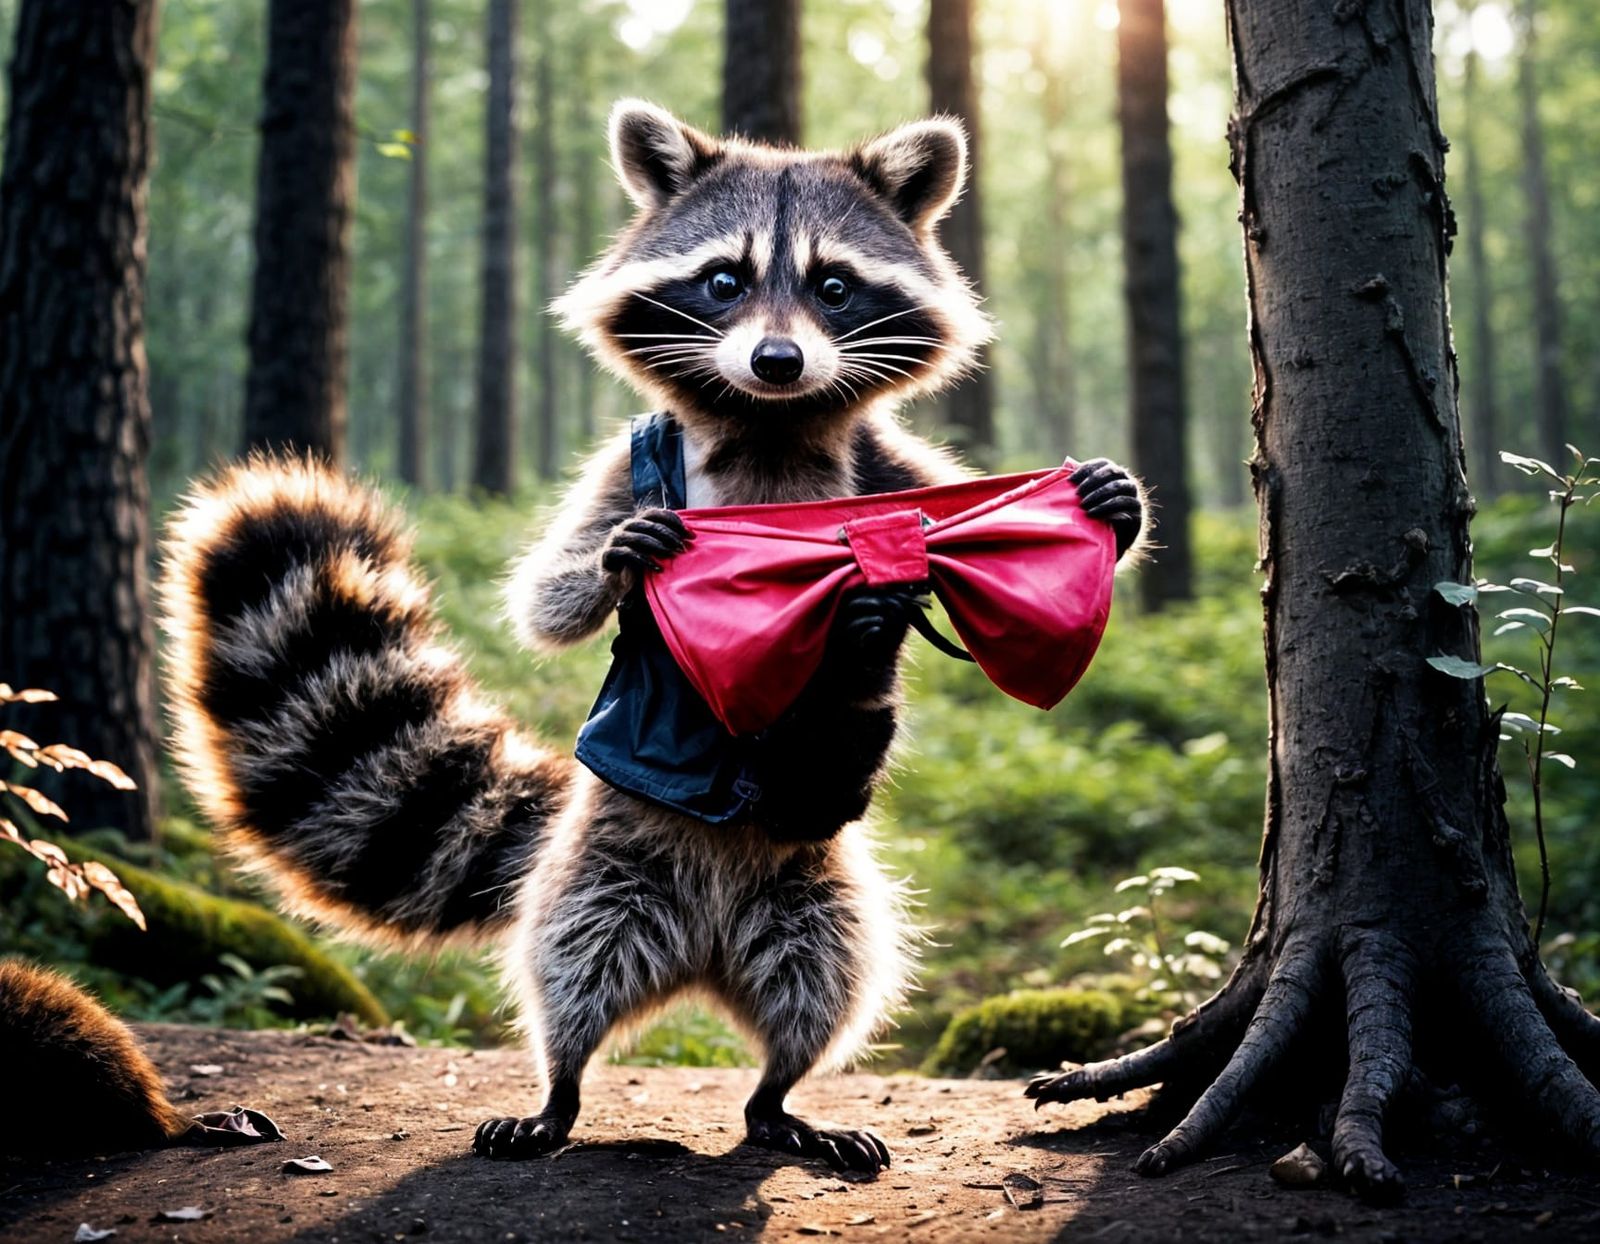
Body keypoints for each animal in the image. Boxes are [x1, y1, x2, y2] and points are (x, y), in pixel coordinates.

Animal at [160, 101, 1146, 1175]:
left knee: (827, 983)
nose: (776, 362)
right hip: (603, 870)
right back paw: (558, 1086)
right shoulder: (620, 461)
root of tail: (703, 952)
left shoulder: (891, 462)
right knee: (569, 966)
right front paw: (614, 563)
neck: (769, 425)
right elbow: (543, 601)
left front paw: (1109, 507)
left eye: (834, 287)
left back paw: (778, 1094)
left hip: (812, 887)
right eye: (724, 281)